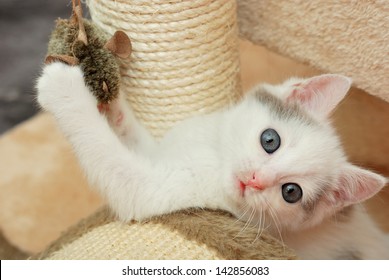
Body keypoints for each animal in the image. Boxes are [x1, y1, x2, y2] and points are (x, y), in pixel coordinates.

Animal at [35, 62, 384, 260]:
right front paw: (113, 102)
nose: (255, 180)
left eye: (291, 192)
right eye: (270, 140)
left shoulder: (150, 191)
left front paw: (63, 90)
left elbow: (109, 156)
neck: (214, 156)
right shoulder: (168, 150)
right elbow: (140, 140)